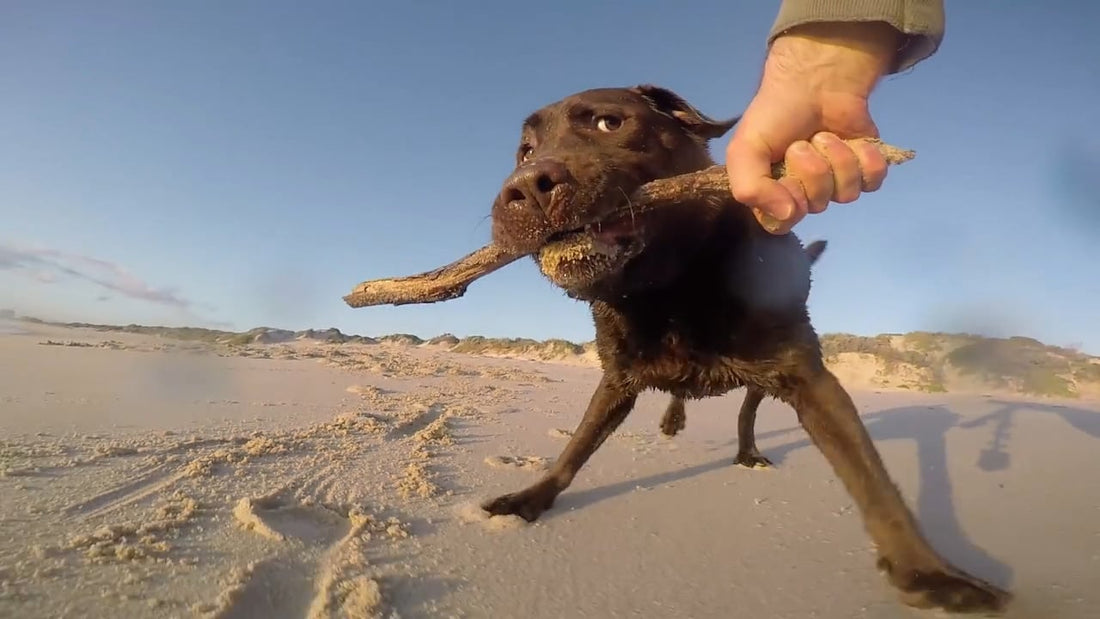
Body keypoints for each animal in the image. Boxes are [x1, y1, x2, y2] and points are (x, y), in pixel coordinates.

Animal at [486, 83, 1007, 615]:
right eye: (525, 151)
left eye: (608, 123)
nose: (525, 189)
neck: (671, 288)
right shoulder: (617, 379)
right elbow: (576, 446)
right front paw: (530, 497)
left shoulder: (811, 379)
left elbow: (872, 478)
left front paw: (928, 572)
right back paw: (673, 419)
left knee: (747, 410)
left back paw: (746, 449)